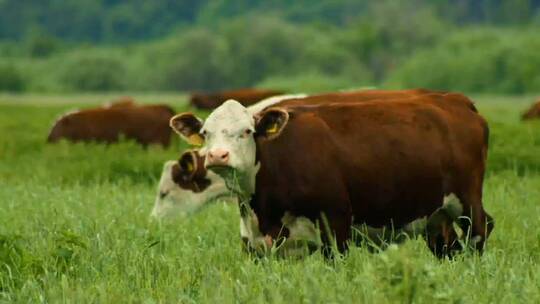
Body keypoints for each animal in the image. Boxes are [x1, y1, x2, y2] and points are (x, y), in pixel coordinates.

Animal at [170, 89, 494, 256]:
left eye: (247, 131)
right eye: (206, 133)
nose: (218, 155)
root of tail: (456, 100)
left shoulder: (336, 222)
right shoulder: (258, 246)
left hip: (467, 203)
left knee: (479, 232)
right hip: (436, 215)